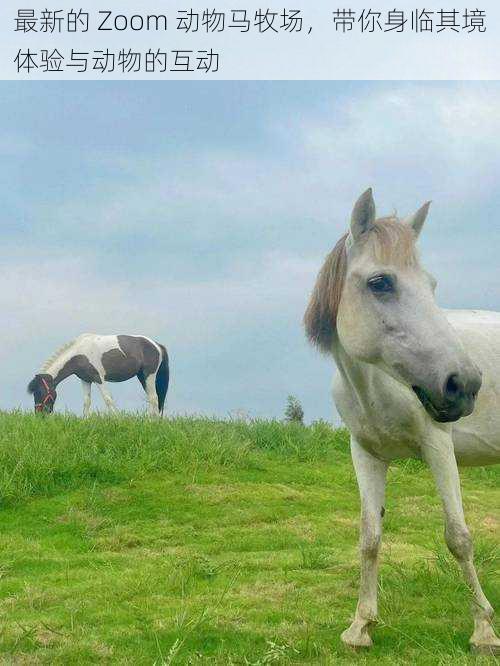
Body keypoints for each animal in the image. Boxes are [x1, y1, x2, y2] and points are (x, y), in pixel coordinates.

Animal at [28, 332, 170, 416]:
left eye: (40, 392)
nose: (39, 414)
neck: (79, 353)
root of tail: (157, 345)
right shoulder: (85, 380)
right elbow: (86, 401)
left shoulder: (98, 378)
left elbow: (108, 399)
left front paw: (117, 419)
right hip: (142, 376)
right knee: (152, 398)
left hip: (149, 375)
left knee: (154, 398)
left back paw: (151, 421)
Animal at [304, 188, 500, 652]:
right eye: (381, 282)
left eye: (432, 286)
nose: (464, 385)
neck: (374, 385)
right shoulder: (366, 455)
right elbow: (369, 538)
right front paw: (360, 627)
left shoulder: (439, 447)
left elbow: (458, 537)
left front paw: (484, 629)